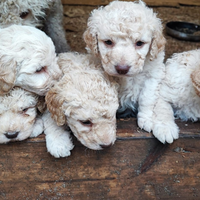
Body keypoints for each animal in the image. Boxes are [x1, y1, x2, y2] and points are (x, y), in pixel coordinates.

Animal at [83, 0, 178, 144]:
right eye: (108, 42)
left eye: (139, 43)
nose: (122, 68)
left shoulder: (153, 75)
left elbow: (147, 98)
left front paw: (146, 119)